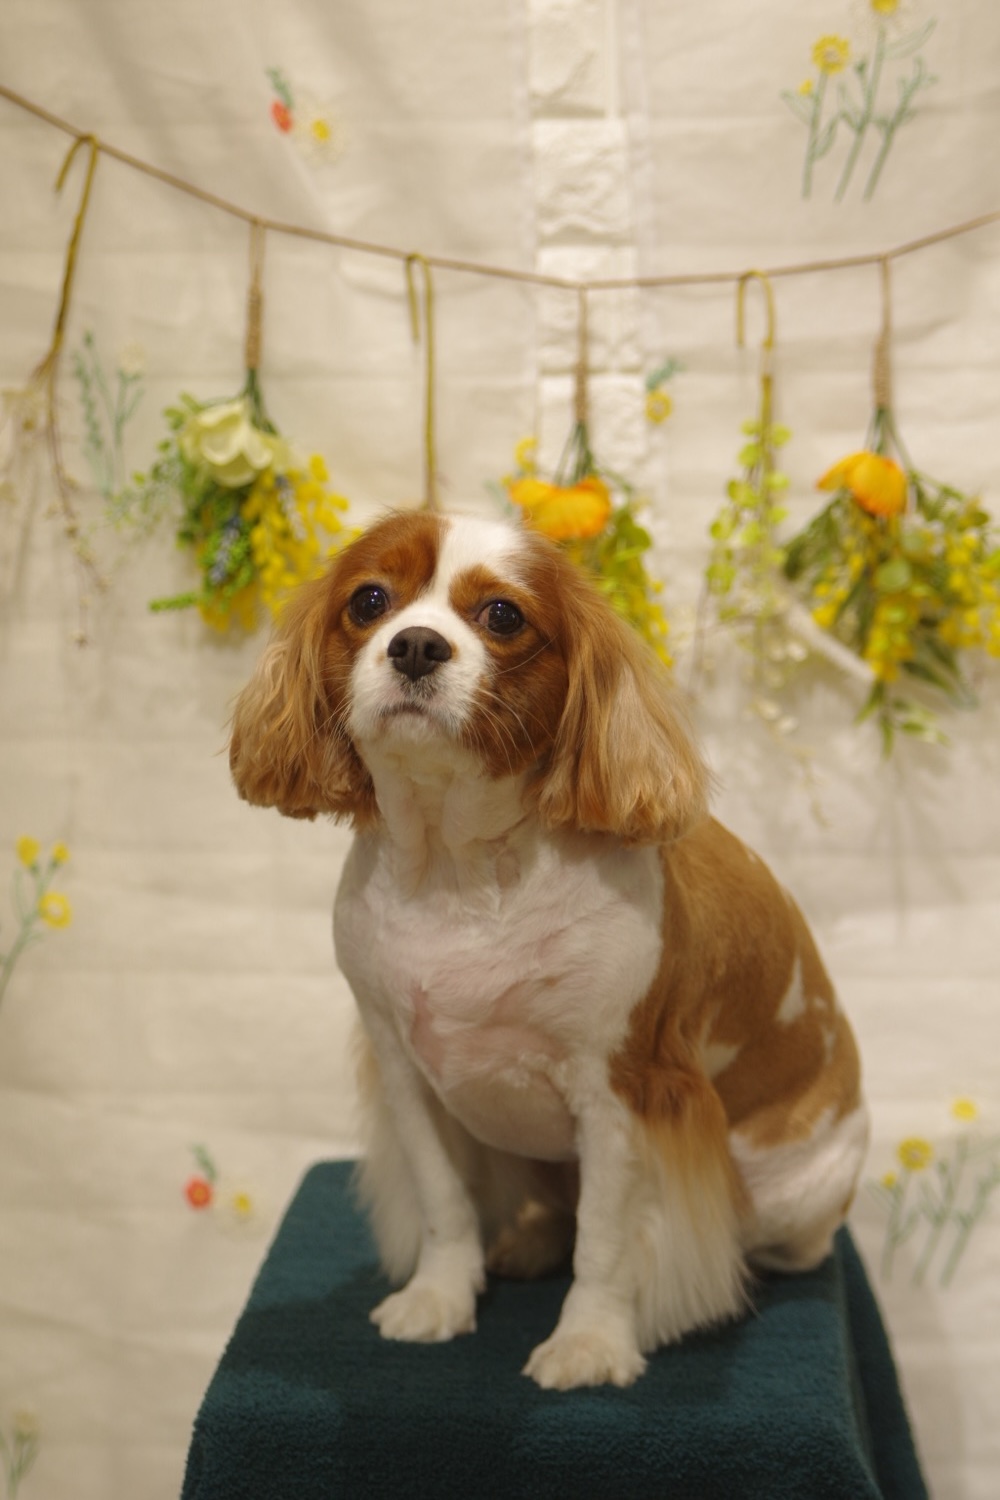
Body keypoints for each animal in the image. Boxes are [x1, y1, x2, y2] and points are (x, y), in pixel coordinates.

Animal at [229, 508, 868, 1390]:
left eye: (502, 615)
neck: (459, 869)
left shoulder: (624, 1091)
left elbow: (608, 1240)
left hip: (800, 1188)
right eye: (369, 601)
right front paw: (440, 1296)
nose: (416, 644)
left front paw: (592, 1340)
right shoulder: (404, 1072)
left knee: (779, 1243)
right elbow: (444, 1202)